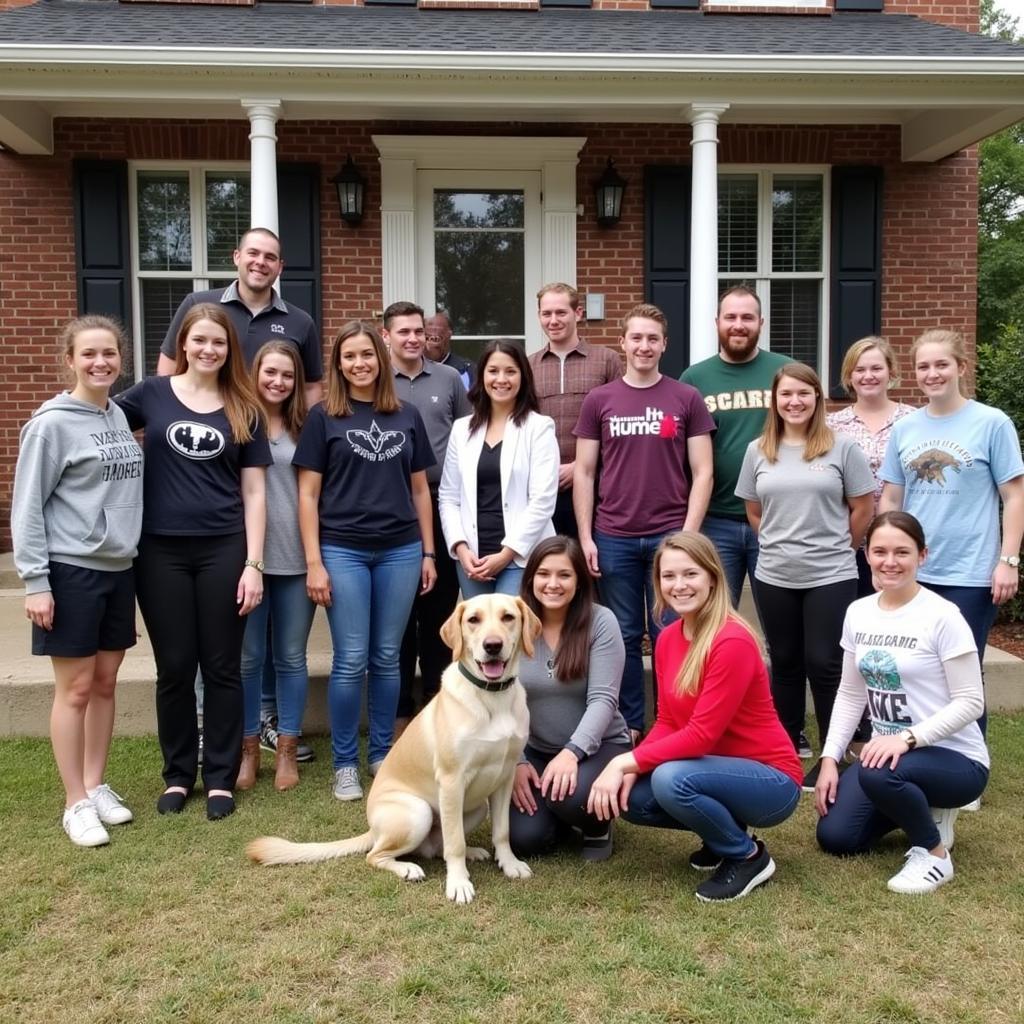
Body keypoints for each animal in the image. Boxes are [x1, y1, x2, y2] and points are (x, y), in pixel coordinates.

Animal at [246, 593, 540, 905]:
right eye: (474, 620)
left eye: (508, 617)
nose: (492, 646)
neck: (491, 698)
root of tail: (373, 829)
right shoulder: (451, 781)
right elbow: (455, 843)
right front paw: (458, 883)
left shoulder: (505, 777)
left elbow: (502, 832)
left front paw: (509, 863)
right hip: (418, 811)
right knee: (379, 855)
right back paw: (409, 869)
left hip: (475, 807)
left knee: (438, 846)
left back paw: (472, 853)